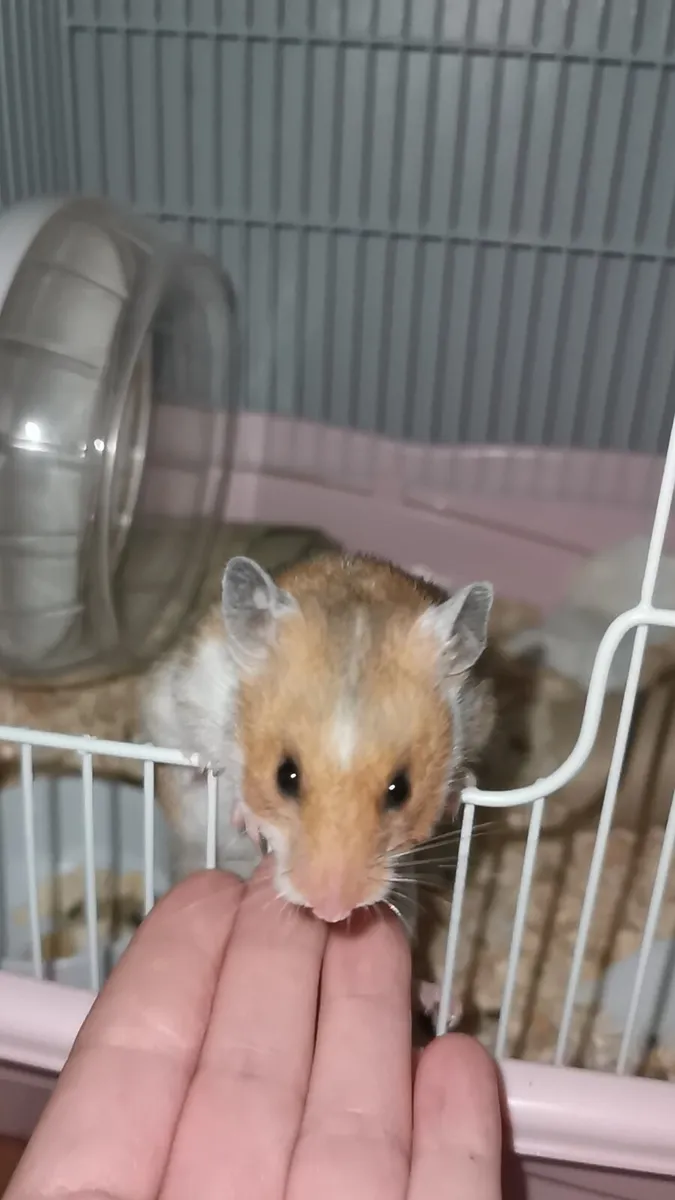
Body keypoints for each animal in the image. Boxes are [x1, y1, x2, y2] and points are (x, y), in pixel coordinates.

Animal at [141, 552, 495, 1022]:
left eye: (401, 789)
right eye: (284, 775)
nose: (331, 913)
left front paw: (457, 794)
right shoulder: (187, 701)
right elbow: (213, 769)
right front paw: (248, 820)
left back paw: (444, 1005)